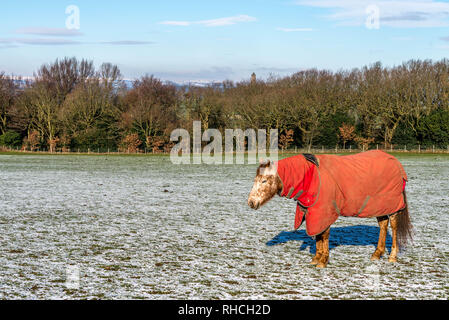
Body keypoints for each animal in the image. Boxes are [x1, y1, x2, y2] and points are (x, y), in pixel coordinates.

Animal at [247, 150, 412, 268]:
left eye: (264, 180)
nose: (251, 202)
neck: (311, 176)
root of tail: (397, 164)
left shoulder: (324, 211)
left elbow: (324, 235)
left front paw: (323, 261)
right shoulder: (314, 212)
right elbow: (318, 235)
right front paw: (316, 258)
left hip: (392, 207)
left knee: (394, 227)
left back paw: (392, 256)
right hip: (380, 207)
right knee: (383, 225)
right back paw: (377, 254)